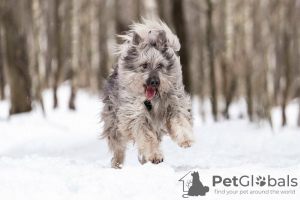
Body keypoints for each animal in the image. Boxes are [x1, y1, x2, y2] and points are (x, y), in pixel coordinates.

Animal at [101, 19, 195, 169]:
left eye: (160, 65)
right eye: (144, 65)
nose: (154, 81)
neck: (153, 100)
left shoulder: (174, 105)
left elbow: (179, 122)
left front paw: (185, 139)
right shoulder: (135, 115)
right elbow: (146, 136)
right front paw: (155, 155)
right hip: (114, 124)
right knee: (118, 147)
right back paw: (117, 165)